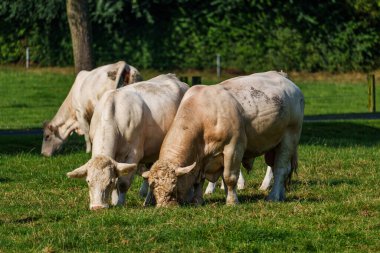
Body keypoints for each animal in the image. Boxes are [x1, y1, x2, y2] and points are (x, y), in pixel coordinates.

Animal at [67, 74, 189, 211]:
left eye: (109, 181)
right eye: (88, 181)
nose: (98, 207)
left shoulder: (134, 154)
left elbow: (123, 182)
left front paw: (120, 203)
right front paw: (114, 201)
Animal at [143, 70, 306, 206]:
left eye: (174, 186)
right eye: (153, 188)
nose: (164, 207)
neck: (203, 116)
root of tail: (284, 77)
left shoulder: (233, 148)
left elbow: (229, 177)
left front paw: (232, 201)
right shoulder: (202, 159)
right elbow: (199, 182)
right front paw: (198, 201)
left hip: (290, 137)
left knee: (280, 169)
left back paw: (273, 197)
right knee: (282, 168)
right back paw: (281, 195)